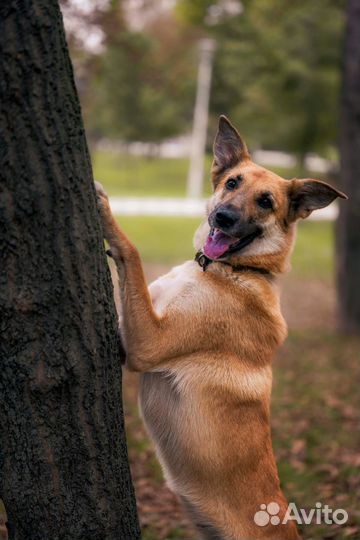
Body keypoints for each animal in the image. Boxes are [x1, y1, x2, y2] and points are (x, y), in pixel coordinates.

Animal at [95, 116, 346, 536]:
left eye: (265, 202)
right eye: (232, 183)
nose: (223, 218)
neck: (231, 270)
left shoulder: (146, 343)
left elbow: (132, 251)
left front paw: (105, 211)